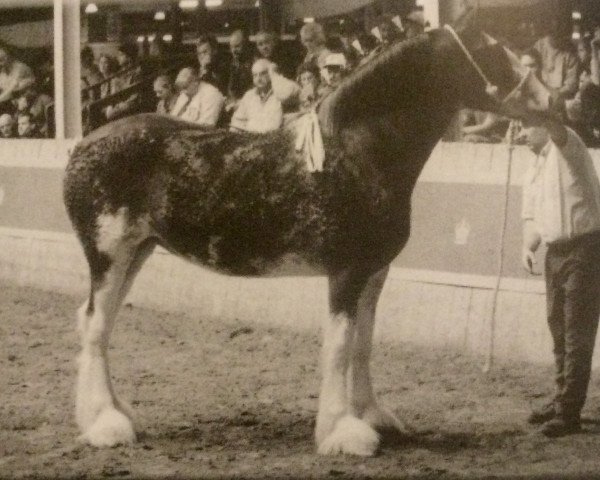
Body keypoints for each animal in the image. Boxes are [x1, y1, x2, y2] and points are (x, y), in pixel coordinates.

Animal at [64, 13, 540, 456]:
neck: (356, 151)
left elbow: (363, 344)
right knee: (95, 326)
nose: (546, 99)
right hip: (109, 256)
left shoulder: (374, 272)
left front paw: (372, 416)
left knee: (99, 324)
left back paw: (116, 415)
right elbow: (340, 345)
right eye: (492, 50)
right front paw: (342, 433)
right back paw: (105, 426)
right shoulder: (346, 271)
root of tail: (82, 146)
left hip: (138, 252)